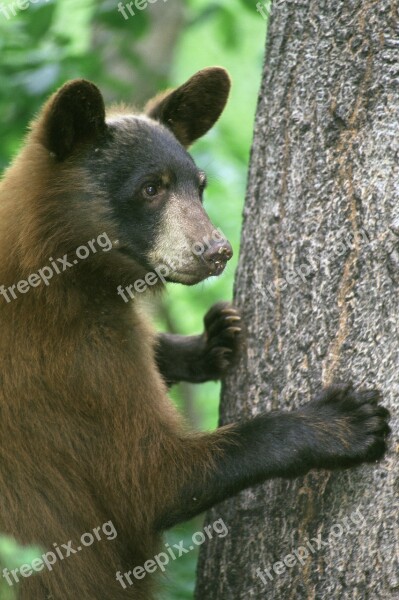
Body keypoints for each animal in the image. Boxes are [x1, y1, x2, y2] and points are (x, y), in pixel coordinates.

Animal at [0, 68, 390, 596]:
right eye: (151, 188)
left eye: (198, 185)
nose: (217, 250)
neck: (55, 268)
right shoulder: (71, 361)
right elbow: (146, 479)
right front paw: (340, 423)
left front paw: (209, 341)